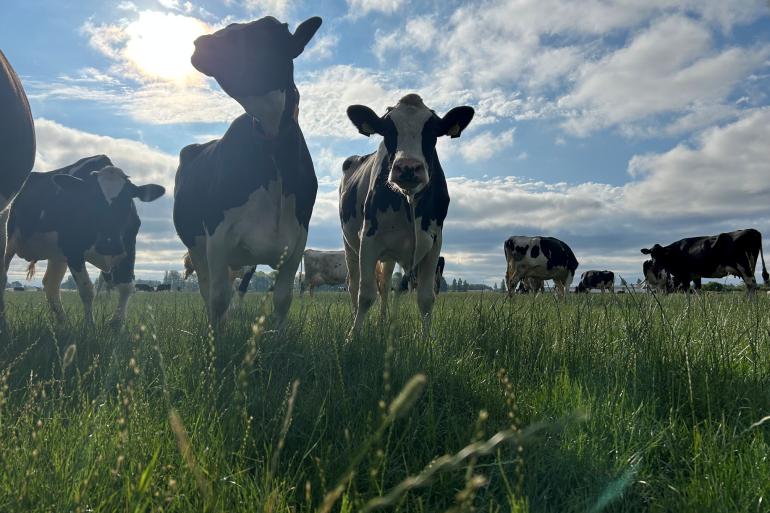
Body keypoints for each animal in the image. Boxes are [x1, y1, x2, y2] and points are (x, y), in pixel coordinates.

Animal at [5, 155, 165, 326]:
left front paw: (116, 324)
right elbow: (87, 289)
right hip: (9, 243)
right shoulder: (73, 249)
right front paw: (89, 326)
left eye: (127, 200)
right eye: (91, 200)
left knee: (51, 285)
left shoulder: (128, 246)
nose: (108, 244)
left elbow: (127, 286)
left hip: (57, 256)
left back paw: (63, 323)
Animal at [173, 16, 322, 327]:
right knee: (208, 291)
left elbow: (282, 300)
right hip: (196, 248)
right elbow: (218, 298)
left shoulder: (295, 242)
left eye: (262, 31)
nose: (198, 42)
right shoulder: (217, 237)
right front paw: (216, 338)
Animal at [340, 94, 474, 336]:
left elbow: (426, 298)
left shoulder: (434, 242)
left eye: (432, 132)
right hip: (349, 245)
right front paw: (353, 337)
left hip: (390, 255)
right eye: (387, 130)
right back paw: (354, 320)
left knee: (384, 285)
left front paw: (427, 339)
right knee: (353, 285)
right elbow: (365, 295)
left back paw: (383, 322)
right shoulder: (368, 239)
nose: (408, 167)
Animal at [641, 228, 769, 294]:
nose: (654, 264)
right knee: (750, 286)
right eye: (651, 254)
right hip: (748, 268)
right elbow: (697, 290)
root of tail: (753, 230)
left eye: (661, 254)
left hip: (744, 267)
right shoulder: (695, 275)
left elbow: (687, 292)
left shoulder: (684, 275)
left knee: (751, 285)